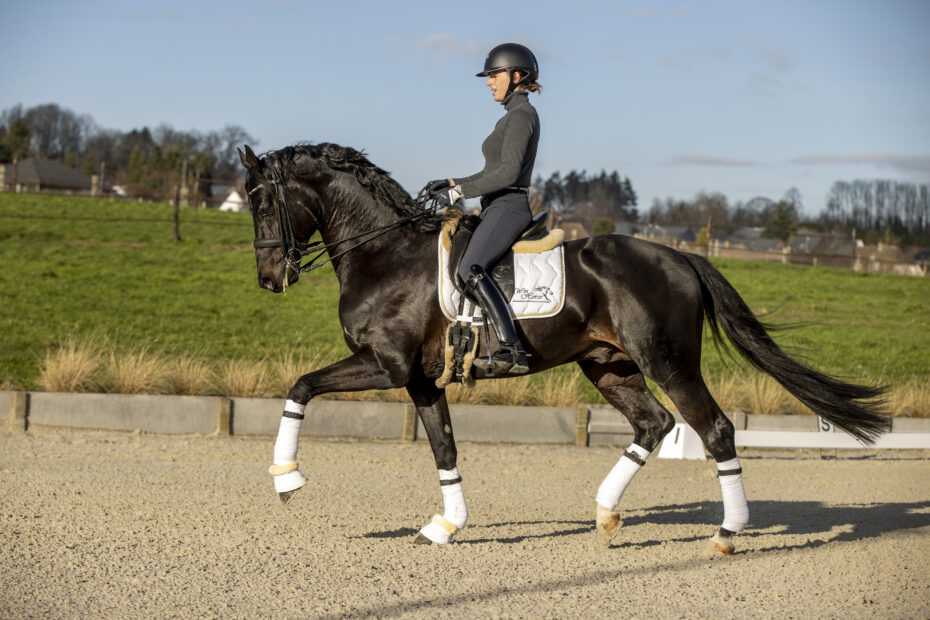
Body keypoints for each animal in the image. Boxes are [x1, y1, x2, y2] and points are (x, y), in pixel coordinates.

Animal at [237, 144, 884, 552]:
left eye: (263, 202)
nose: (269, 278)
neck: (384, 253)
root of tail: (679, 255)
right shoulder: (420, 379)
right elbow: (444, 448)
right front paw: (447, 526)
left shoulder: (385, 365)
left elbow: (300, 387)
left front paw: (285, 479)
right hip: (610, 366)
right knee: (653, 424)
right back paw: (605, 512)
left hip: (668, 362)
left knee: (714, 429)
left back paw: (726, 534)